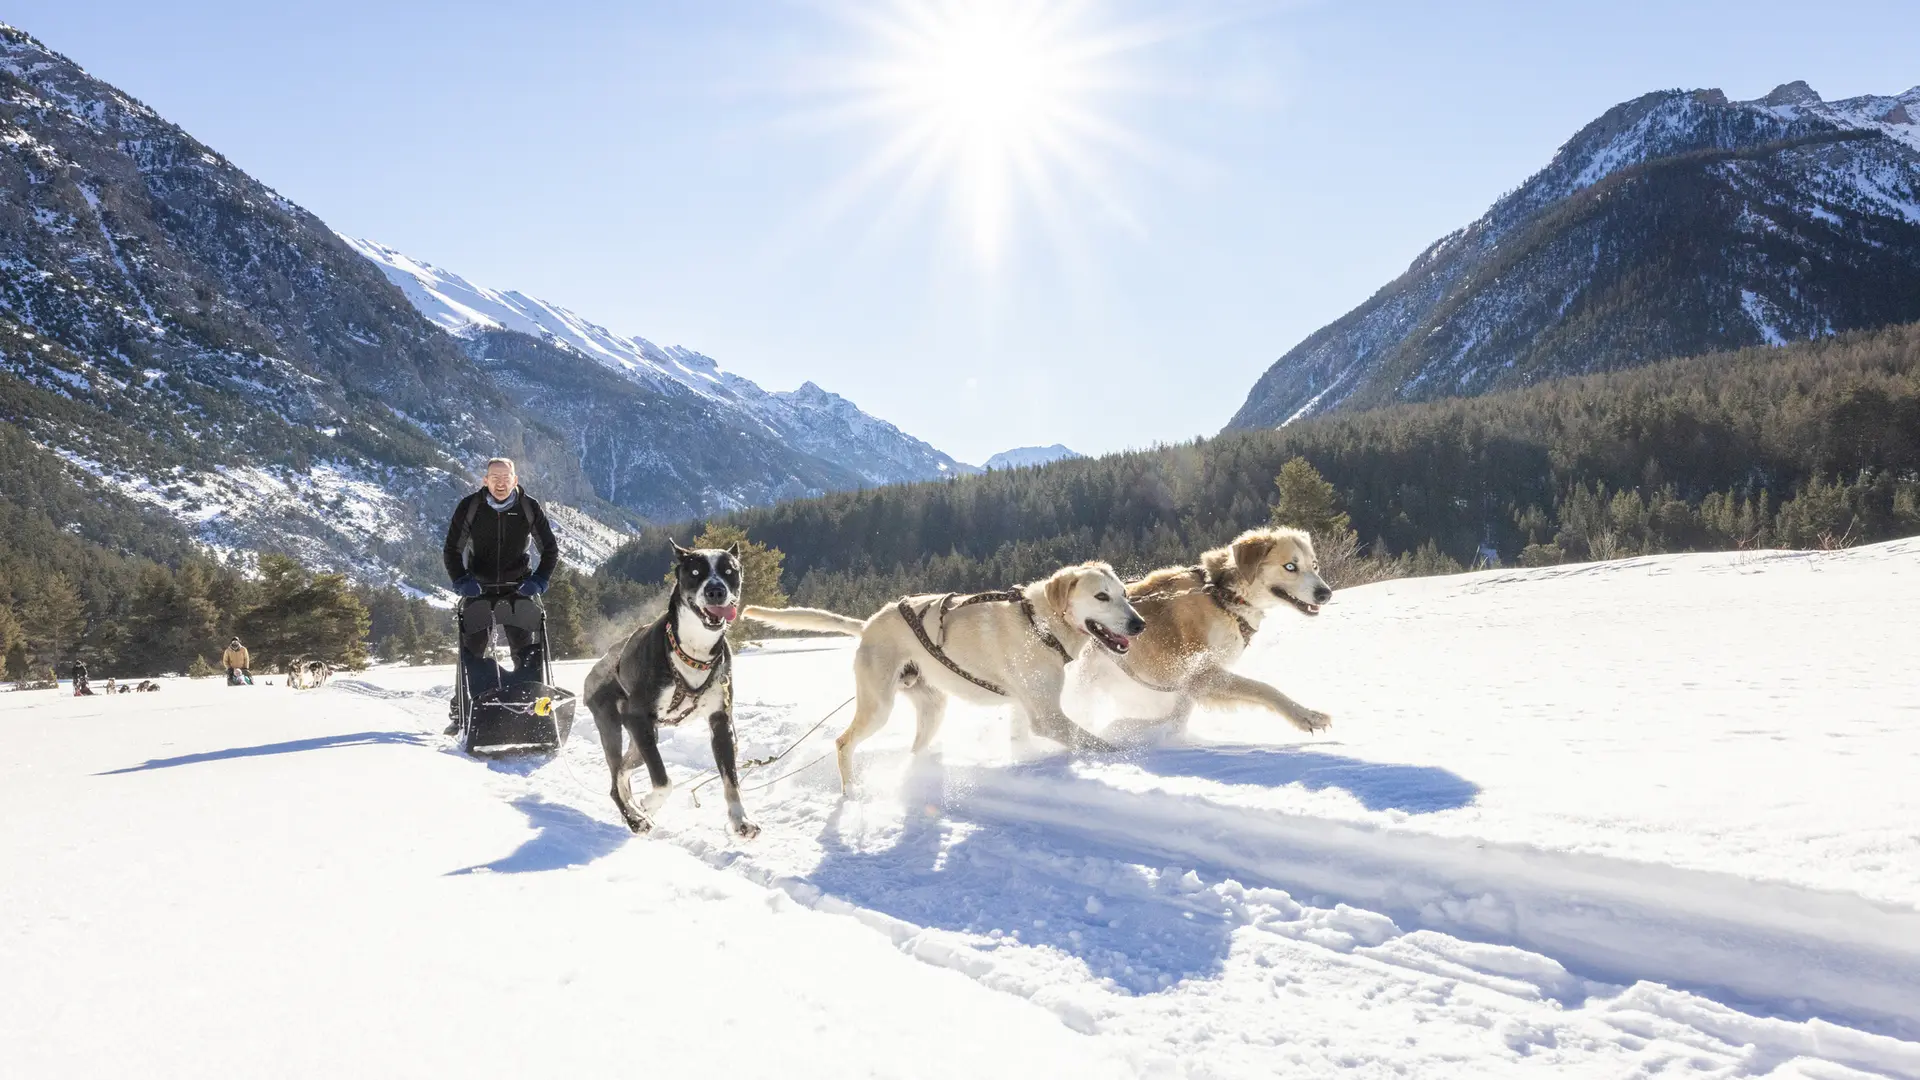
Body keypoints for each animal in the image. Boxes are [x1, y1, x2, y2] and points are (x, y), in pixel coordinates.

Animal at [579, 541, 752, 837]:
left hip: (643, 740)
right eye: (695, 571)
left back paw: (634, 807)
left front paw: (741, 820)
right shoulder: (638, 717)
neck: (694, 652)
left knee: (622, 771)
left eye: (730, 571)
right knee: (615, 781)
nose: (715, 590)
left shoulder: (721, 723)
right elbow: (663, 780)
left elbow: (731, 780)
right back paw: (635, 818)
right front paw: (649, 802)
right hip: (616, 727)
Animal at [744, 564, 1136, 791]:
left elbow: (1021, 740)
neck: (1039, 623)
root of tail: (868, 624)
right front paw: (1137, 758)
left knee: (914, 749)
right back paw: (852, 794)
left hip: (933, 710)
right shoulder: (1049, 717)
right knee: (842, 743)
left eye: (1125, 594)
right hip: (878, 708)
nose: (1139, 624)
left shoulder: (1026, 710)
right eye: (1101, 596)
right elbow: (1100, 743)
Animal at [1082, 526, 1336, 734]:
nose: (1326, 594)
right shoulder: (1201, 674)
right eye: (1290, 567)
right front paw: (1306, 715)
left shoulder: (1192, 684)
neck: (1222, 598)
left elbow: (1177, 717)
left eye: (1314, 566)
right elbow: (1263, 688)